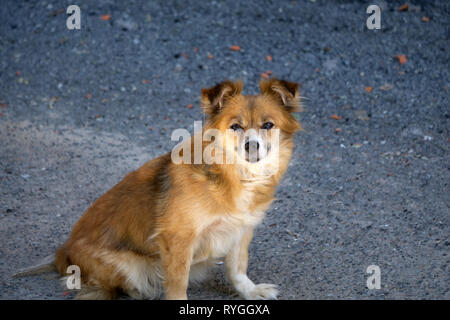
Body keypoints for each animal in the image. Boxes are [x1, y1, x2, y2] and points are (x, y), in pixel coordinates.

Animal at [14, 78, 302, 300]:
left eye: (268, 125)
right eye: (235, 127)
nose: (251, 146)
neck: (233, 174)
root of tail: (62, 253)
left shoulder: (240, 229)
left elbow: (237, 268)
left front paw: (250, 291)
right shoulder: (178, 240)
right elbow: (177, 284)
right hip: (129, 265)